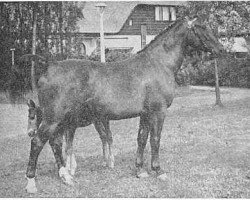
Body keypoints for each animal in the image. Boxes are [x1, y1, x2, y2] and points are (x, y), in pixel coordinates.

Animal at [7, 17, 224, 194]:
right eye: (202, 28)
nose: (221, 50)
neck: (158, 64)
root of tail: (50, 66)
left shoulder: (145, 113)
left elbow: (141, 139)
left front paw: (140, 171)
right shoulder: (158, 111)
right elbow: (155, 140)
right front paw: (158, 171)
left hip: (60, 120)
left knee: (55, 143)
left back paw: (66, 176)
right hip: (54, 118)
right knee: (37, 142)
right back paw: (31, 184)